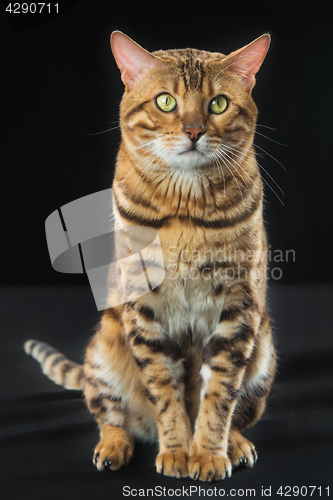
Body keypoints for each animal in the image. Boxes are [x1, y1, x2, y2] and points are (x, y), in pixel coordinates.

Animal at [24, 30, 276, 480]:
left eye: (218, 103)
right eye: (166, 101)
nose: (194, 131)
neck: (185, 211)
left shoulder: (239, 306)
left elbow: (220, 393)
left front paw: (208, 453)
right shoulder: (143, 307)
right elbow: (164, 390)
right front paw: (176, 450)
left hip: (263, 350)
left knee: (240, 410)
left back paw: (236, 444)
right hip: (106, 345)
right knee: (110, 414)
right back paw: (114, 446)